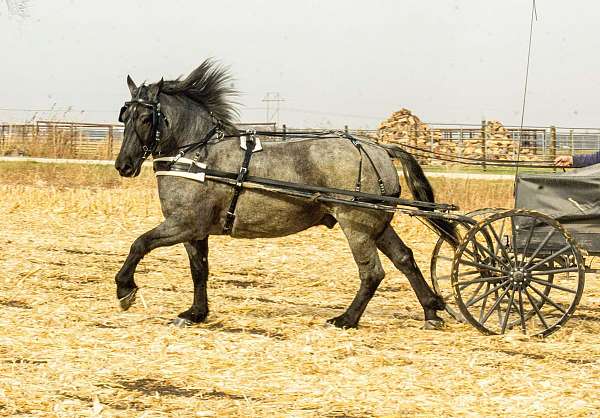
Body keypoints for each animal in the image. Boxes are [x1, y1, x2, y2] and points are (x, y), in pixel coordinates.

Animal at [113, 59, 454, 330]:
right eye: (124, 115)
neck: (197, 155)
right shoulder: (195, 231)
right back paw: (431, 311)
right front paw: (196, 313)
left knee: (372, 272)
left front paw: (125, 289)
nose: (123, 165)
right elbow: (199, 270)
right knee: (404, 258)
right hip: (378, 225)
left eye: (146, 118)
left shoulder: (183, 224)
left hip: (356, 225)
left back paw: (345, 319)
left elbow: (140, 243)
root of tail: (379, 148)